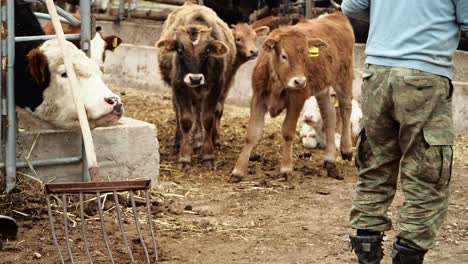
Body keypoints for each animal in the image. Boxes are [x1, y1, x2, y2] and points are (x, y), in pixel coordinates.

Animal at [157, 2, 238, 169]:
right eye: (180, 51)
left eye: (207, 51)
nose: (195, 79)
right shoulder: (179, 87)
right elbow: (186, 119)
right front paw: (184, 157)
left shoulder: (215, 87)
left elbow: (207, 118)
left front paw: (207, 155)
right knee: (179, 112)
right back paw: (180, 141)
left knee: (198, 112)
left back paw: (198, 141)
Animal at [230, 11, 354, 183]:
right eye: (284, 56)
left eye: (306, 56)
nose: (300, 81)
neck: (278, 81)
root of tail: (335, 15)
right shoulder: (258, 98)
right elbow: (251, 134)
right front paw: (238, 170)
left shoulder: (297, 100)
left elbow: (288, 132)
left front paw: (286, 168)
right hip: (322, 89)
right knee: (329, 115)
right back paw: (330, 159)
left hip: (344, 78)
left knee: (345, 107)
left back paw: (346, 149)